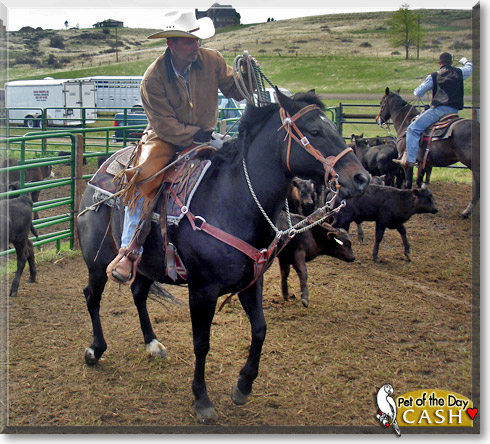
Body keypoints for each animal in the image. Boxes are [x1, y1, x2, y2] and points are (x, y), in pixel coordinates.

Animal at [76, 89, 370, 424]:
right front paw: (202, 399)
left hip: (148, 264)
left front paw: (243, 385)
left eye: (332, 126)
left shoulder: (251, 283)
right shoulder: (202, 290)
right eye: (315, 131)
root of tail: (101, 172)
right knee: (92, 296)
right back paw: (95, 350)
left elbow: (260, 329)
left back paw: (152, 344)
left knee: (138, 294)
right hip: (98, 261)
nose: (361, 178)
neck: (232, 200)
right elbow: (201, 343)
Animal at [378, 86, 478, 218]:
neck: (406, 124)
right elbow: (420, 180)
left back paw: (466, 211)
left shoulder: (407, 163)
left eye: (381, 103)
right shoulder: (423, 162)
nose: (378, 120)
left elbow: (409, 181)